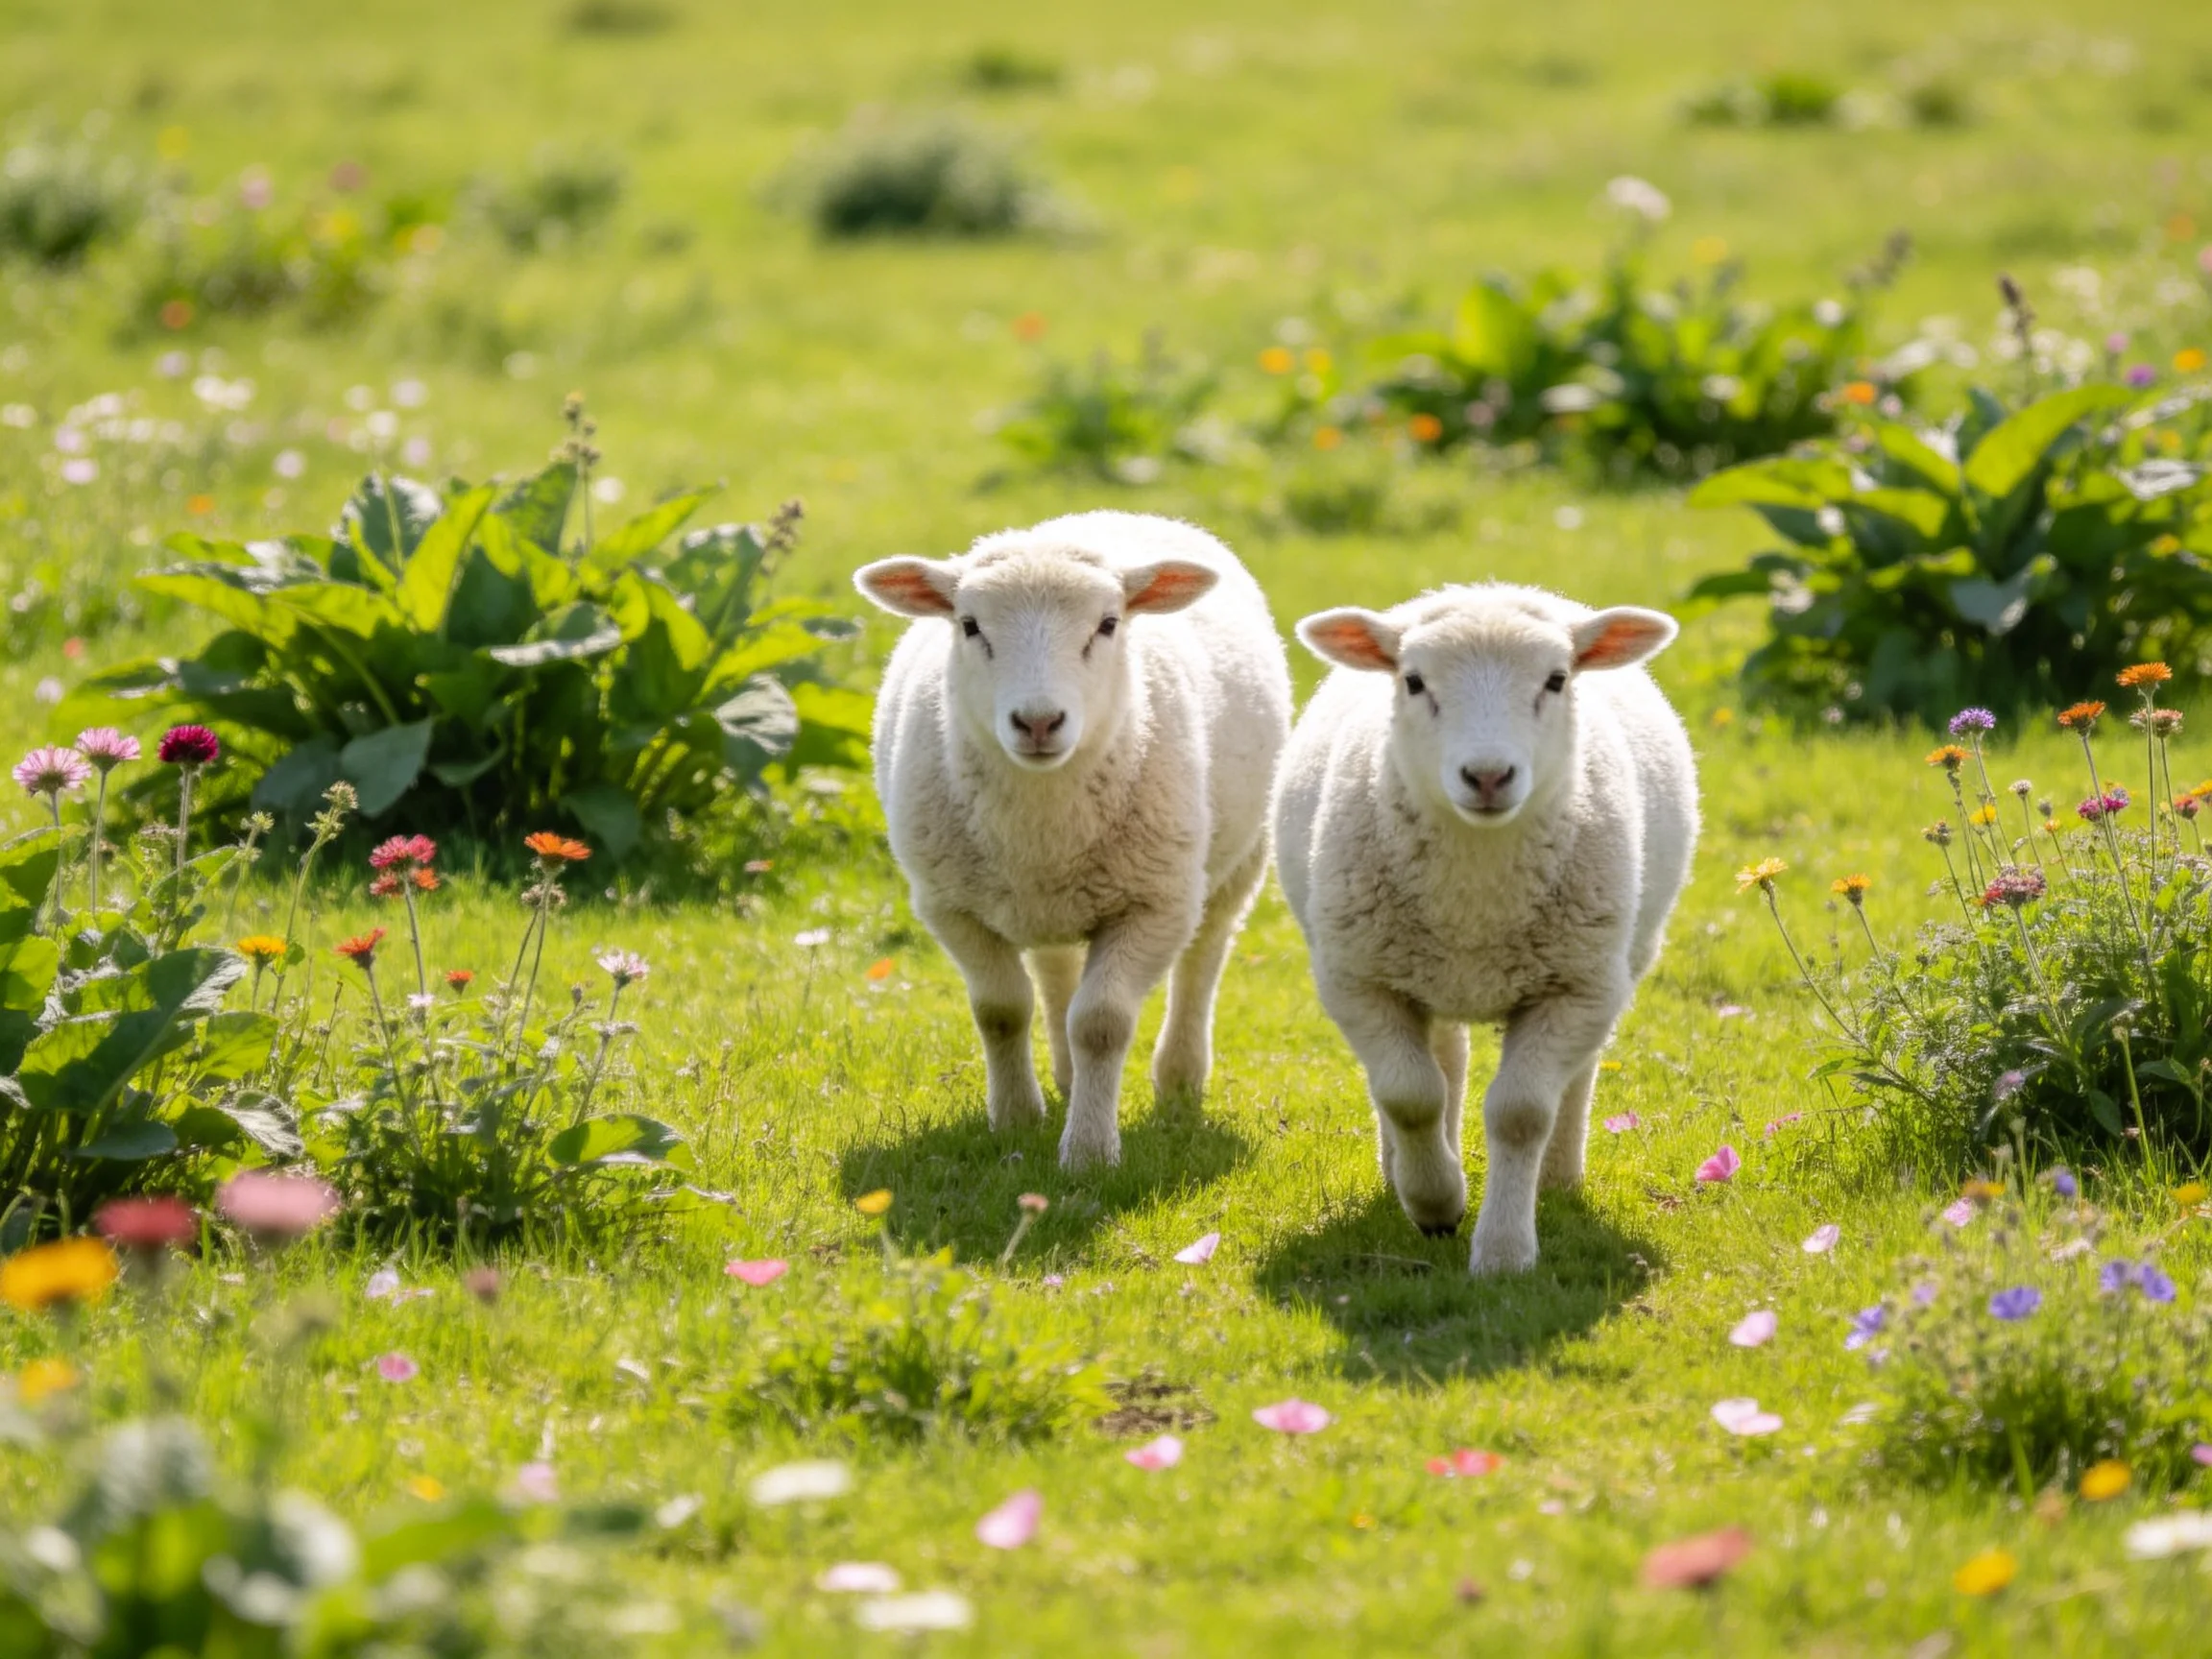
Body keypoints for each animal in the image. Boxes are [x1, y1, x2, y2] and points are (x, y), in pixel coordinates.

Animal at [854, 511, 1292, 1170]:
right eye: (969, 625)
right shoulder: (950, 905)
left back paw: (1179, 1079)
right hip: (1040, 899)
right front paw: (1014, 1119)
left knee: (1203, 957)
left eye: (1108, 624)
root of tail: (1119, 516)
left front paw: (1088, 1151)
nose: (1038, 722)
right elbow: (1001, 1011)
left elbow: (1102, 1023)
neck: (1043, 820)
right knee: (1054, 965)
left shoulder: (1155, 903)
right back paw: (1063, 1076)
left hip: (1237, 861)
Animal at [1272, 582, 1697, 1275]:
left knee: (1574, 1076)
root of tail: (1487, 587)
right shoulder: (1358, 980)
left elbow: (1521, 1113)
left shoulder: (1575, 987)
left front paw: (1503, 1251)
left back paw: (1557, 1177)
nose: (1489, 776)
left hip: (1609, 965)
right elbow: (1410, 1095)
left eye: (1557, 679)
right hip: (1415, 967)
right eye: (1414, 681)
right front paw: (1437, 1204)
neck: (1476, 892)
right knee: (1440, 1064)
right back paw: (1402, 1172)